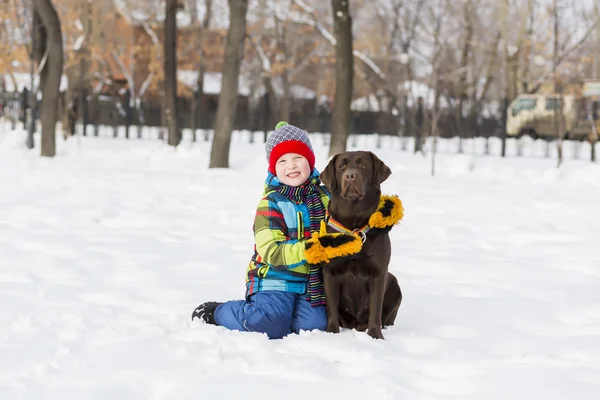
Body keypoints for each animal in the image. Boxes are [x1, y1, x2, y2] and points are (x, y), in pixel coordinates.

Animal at [318, 152, 404, 340]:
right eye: (342, 166)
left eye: (363, 165)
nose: (350, 175)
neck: (354, 223)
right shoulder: (330, 272)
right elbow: (331, 307)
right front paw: (331, 332)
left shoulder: (379, 273)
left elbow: (375, 309)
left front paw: (376, 336)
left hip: (393, 281)